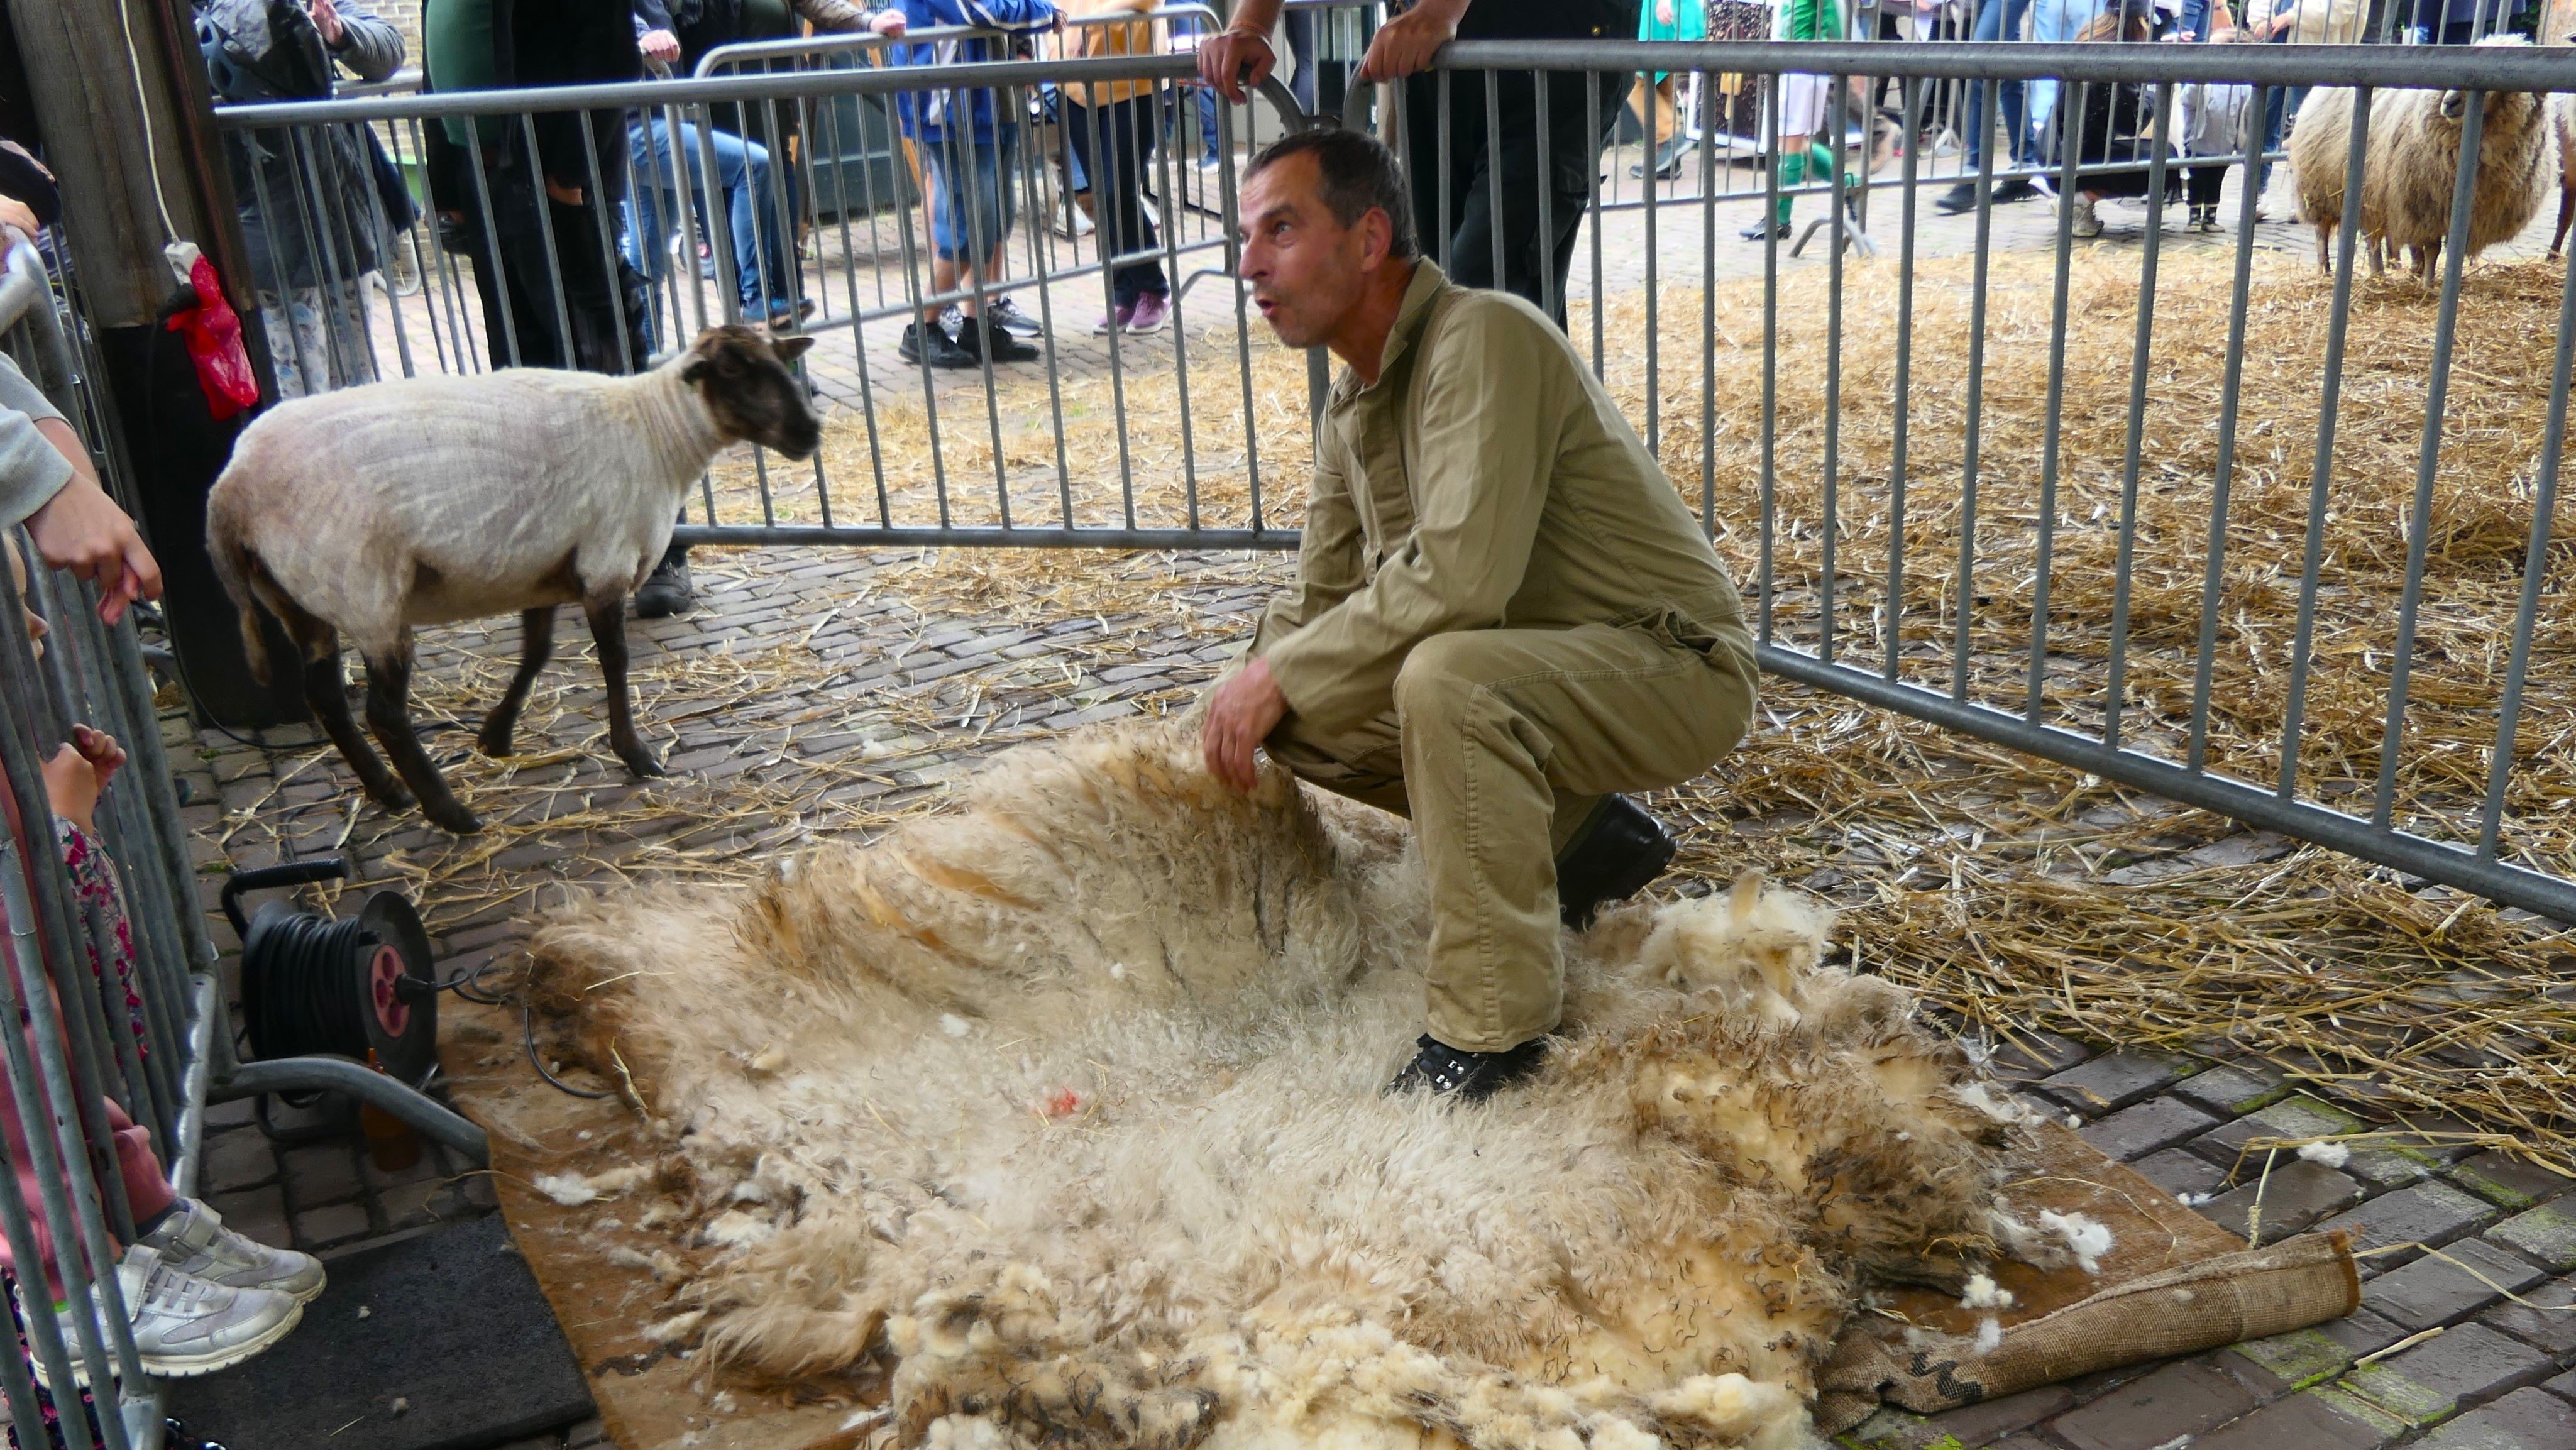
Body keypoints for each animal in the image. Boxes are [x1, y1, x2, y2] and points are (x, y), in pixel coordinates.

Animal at [206, 323, 819, 834]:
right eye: (734, 369)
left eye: (779, 358)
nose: (810, 431)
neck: (656, 431)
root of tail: (230, 487)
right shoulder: (606, 561)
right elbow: (614, 661)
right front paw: (635, 753)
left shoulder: (543, 569)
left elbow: (536, 654)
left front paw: (495, 736)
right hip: (367, 596)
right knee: (383, 713)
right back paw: (450, 812)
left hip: (298, 599)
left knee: (326, 697)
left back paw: (389, 792)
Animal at [2298, 35, 2555, 280]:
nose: (2449, 103)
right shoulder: (2427, 206)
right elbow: (2432, 249)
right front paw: (2428, 284)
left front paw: (2423, 276)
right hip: (2320, 190)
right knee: (2324, 231)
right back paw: (2328, 269)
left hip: (2372, 192)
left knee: (2373, 236)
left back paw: (2383, 271)